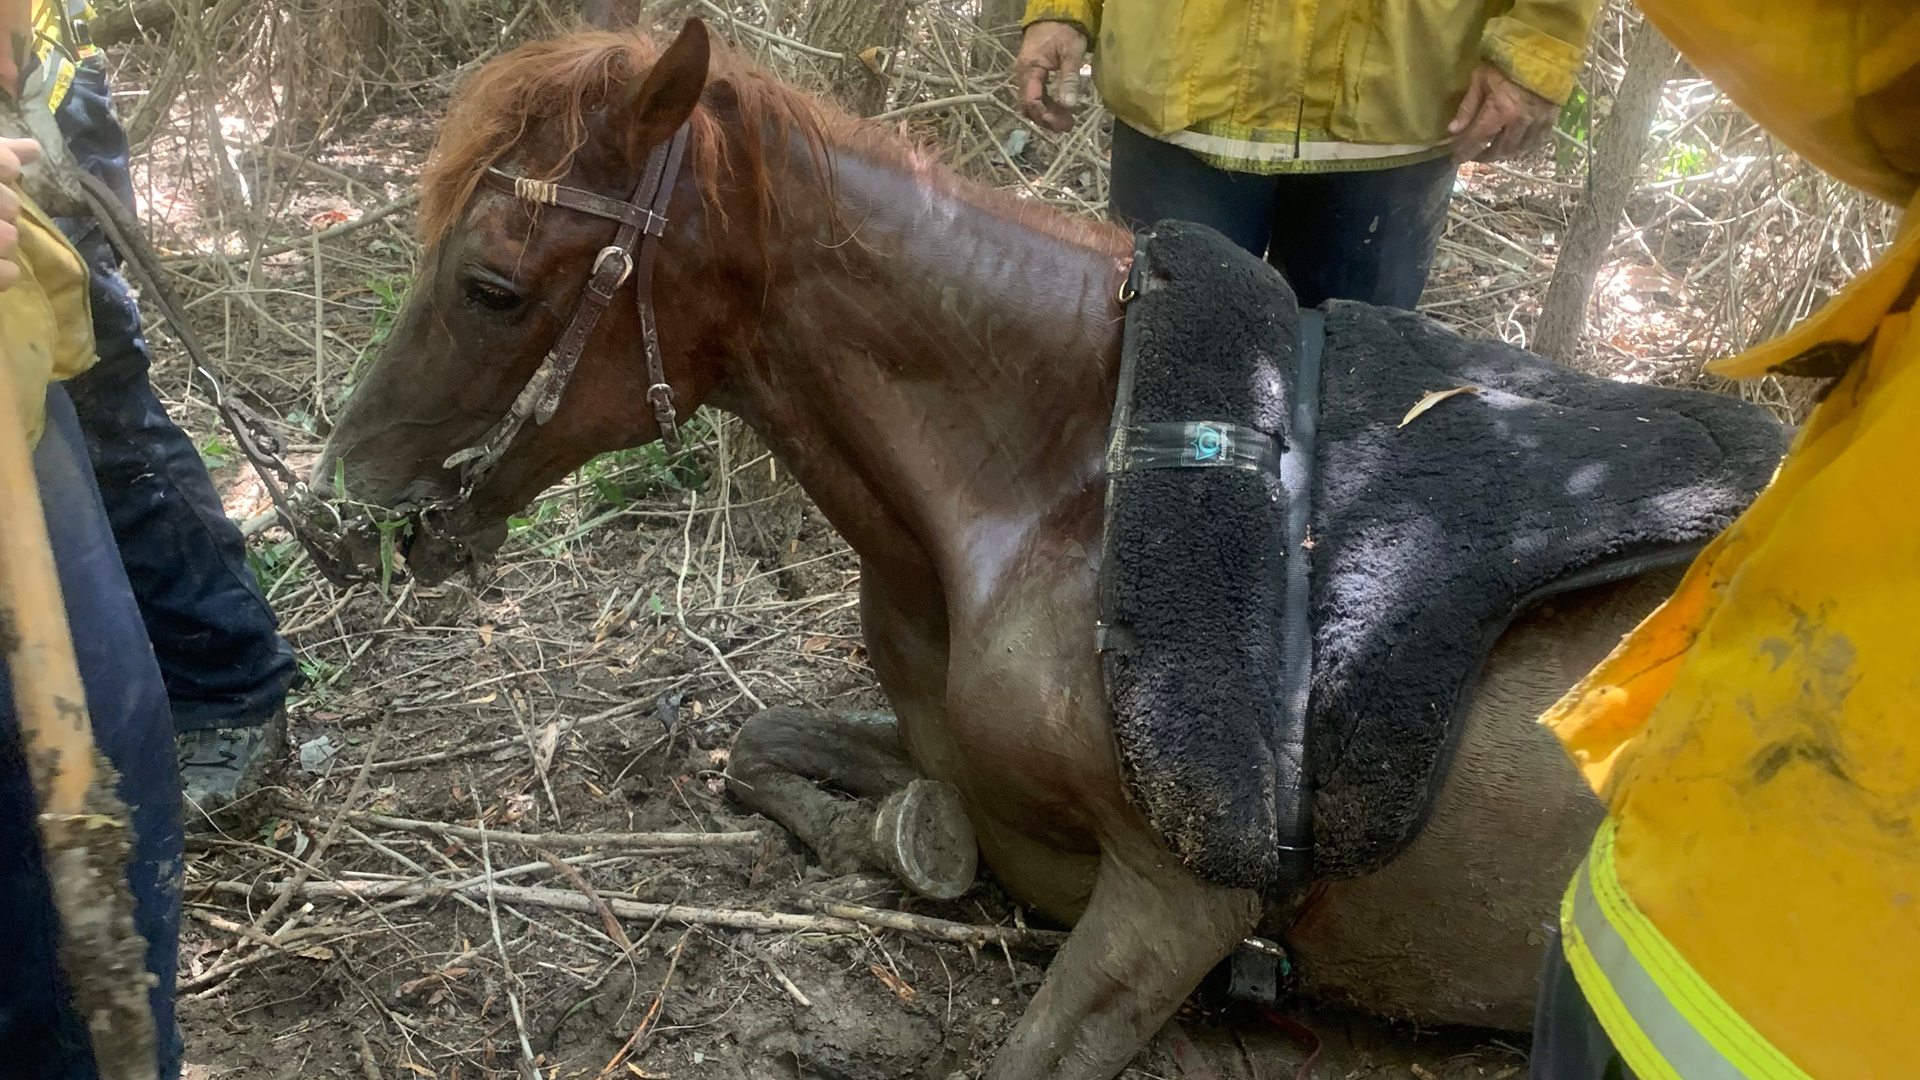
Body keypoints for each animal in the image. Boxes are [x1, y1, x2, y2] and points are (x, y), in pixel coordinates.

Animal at [318, 18, 1712, 1076]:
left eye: (492, 288)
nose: (339, 515)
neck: (1055, 489)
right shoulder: (949, 753)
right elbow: (764, 743)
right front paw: (891, 843)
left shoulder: (1179, 907)